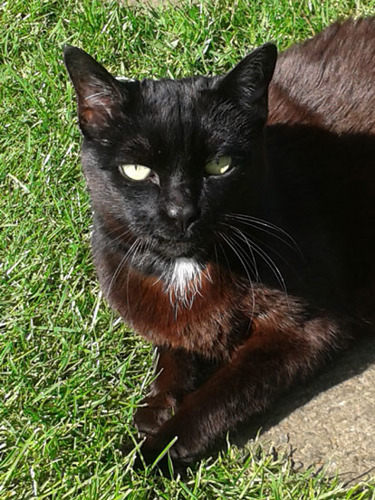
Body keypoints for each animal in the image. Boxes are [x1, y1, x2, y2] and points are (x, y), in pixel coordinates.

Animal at [64, 18, 375, 468]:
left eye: (219, 165)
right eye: (137, 170)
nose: (181, 211)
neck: (185, 271)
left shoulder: (305, 329)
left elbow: (219, 399)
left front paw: (148, 455)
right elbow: (172, 352)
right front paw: (156, 407)